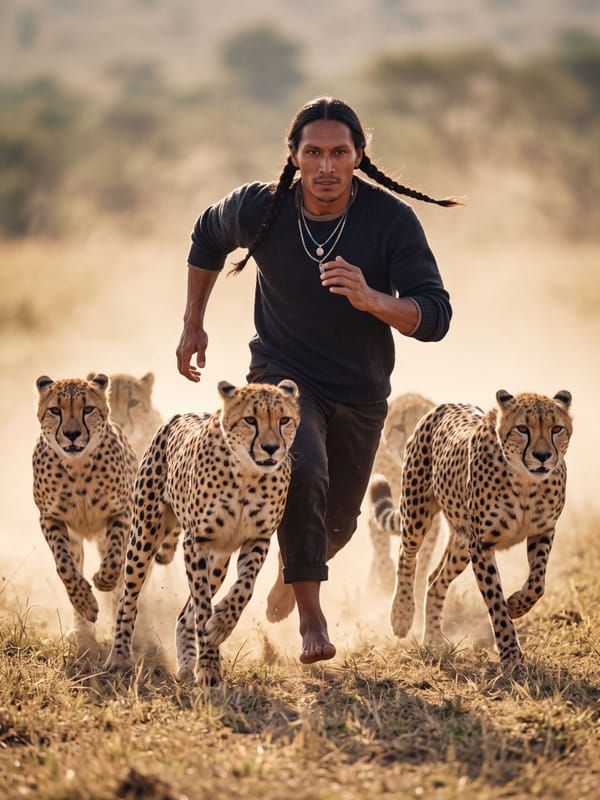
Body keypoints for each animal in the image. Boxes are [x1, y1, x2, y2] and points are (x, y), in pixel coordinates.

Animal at [32, 374, 138, 648]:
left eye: (88, 409)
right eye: (55, 410)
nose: (72, 434)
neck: (78, 466)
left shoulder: (121, 512)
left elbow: (114, 558)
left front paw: (103, 579)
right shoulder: (51, 518)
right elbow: (66, 567)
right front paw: (85, 604)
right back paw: (81, 628)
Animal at [104, 379, 300, 686]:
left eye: (284, 420)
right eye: (250, 420)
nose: (271, 448)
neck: (248, 475)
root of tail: (178, 416)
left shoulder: (257, 539)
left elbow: (243, 589)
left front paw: (219, 624)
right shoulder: (196, 542)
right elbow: (202, 606)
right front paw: (209, 667)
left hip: (217, 561)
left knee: (184, 615)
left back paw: (186, 666)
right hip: (143, 536)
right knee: (128, 599)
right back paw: (119, 658)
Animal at [369, 389, 573, 675]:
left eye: (556, 429)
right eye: (522, 428)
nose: (543, 456)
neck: (525, 482)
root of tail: (442, 406)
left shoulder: (542, 532)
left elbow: (537, 584)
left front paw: (515, 605)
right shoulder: (482, 545)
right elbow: (495, 603)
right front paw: (511, 656)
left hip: (461, 545)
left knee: (435, 579)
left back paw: (433, 639)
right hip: (416, 512)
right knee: (406, 555)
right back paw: (402, 613)